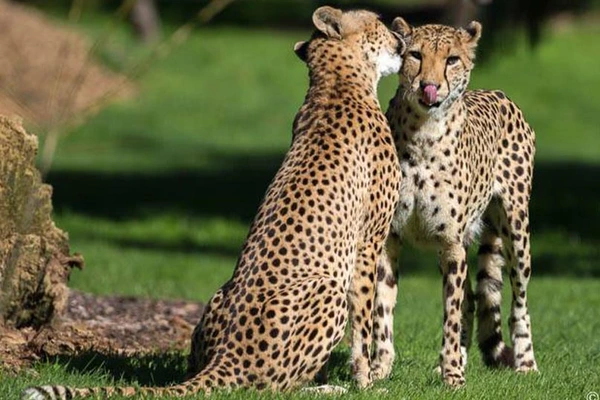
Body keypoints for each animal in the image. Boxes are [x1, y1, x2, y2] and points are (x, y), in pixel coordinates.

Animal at [24, 7, 408, 400]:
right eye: (377, 22)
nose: (400, 40)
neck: (336, 82)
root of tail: (226, 358)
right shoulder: (369, 241)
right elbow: (364, 319)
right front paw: (366, 380)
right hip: (326, 287)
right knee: (272, 387)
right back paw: (325, 389)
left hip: (221, 295)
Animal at [370, 19, 540, 388]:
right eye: (415, 55)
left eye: (452, 60)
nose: (429, 87)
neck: (423, 135)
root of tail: (498, 94)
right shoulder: (390, 240)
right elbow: (382, 310)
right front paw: (379, 369)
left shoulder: (450, 244)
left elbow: (450, 312)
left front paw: (453, 376)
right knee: (471, 301)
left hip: (516, 230)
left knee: (518, 298)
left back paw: (526, 362)